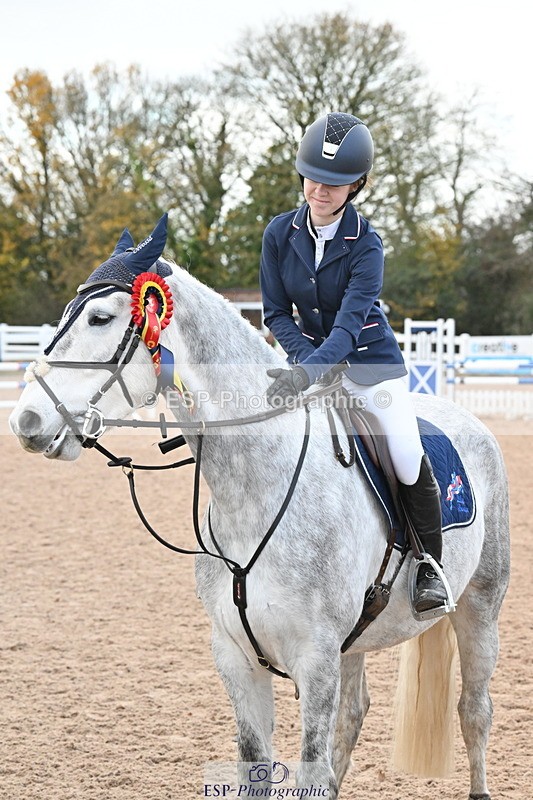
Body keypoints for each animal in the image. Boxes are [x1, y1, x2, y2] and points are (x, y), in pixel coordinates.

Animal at [9, 215, 510, 799]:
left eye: (100, 317)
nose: (26, 421)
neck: (256, 491)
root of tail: (467, 419)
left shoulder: (315, 661)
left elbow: (312, 764)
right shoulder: (237, 658)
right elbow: (256, 764)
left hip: (480, 606)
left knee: (474, 709)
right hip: (358, 640)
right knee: (355, 715)